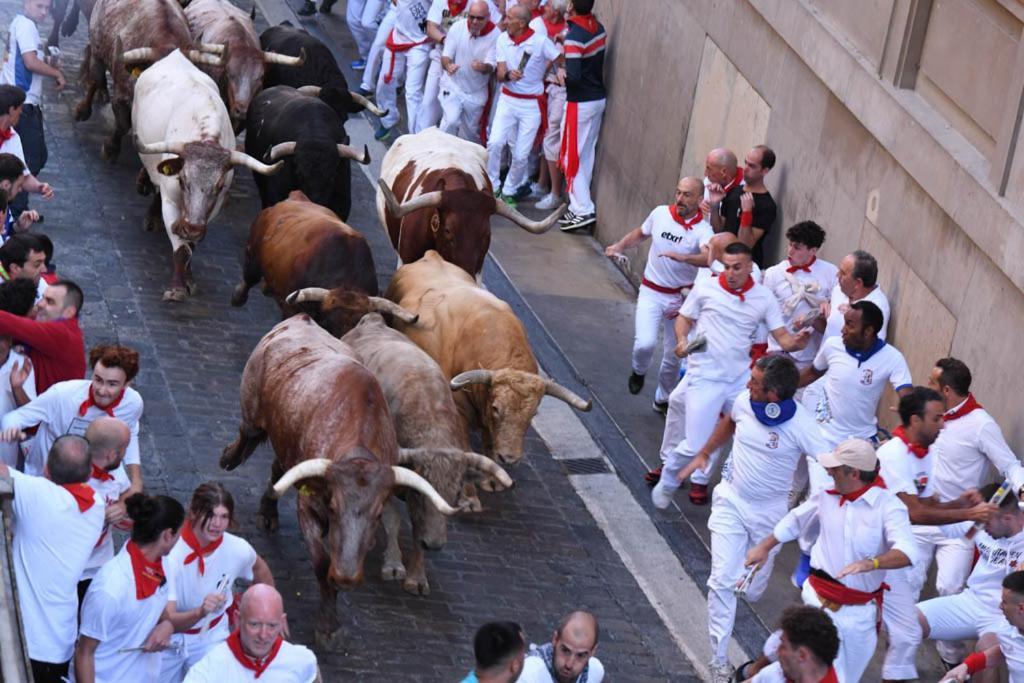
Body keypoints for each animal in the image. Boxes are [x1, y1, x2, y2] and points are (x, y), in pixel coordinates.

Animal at [222, 315, 458, 647]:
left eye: (377, 515)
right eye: (333, 507)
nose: (346, 576)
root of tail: (301, 318)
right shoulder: (308, 507)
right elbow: (322, 565)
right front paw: (328, 624)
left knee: (277, 468)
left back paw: (268, 511)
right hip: (253, 417)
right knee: (248, 436)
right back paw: (230, 458)